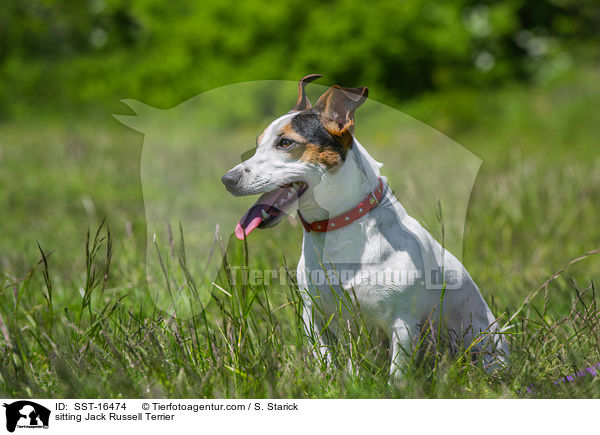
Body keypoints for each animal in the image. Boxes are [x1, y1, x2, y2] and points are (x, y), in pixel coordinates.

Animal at [220, 74, 506, 378]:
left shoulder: (402, 323)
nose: (227, 180)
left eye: (285, 142)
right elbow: (325, 361)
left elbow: (397, 375)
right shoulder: (314, 316)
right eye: (258, 143)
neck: (338, 227)